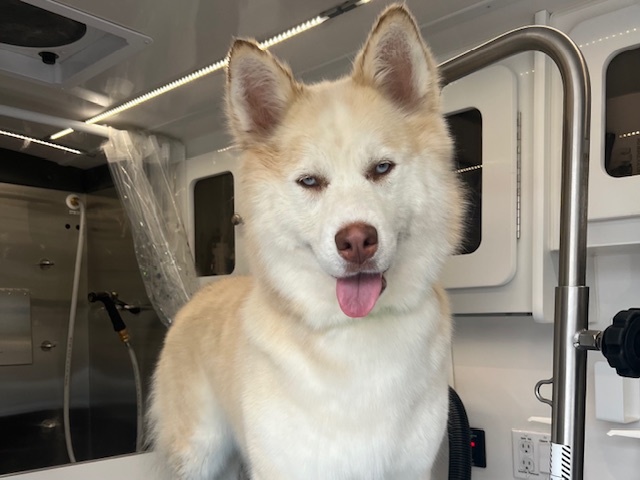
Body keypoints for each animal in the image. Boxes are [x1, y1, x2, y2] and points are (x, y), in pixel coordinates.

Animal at [148, 4, 462, 480]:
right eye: (310, 181)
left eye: (381, 168)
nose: (357, 241)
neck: (354, 344)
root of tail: (198, 297)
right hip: (197, 457)